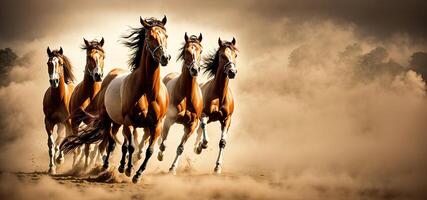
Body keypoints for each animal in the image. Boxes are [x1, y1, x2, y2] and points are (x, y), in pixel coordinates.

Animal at [69, 38, 105, 169]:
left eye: (103, 56)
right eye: (89, 56)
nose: (98, 75)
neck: (90, 95)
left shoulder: (91, 122)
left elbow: (87, 146)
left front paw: (85, 167)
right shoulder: (75, 121)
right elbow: (77, 146)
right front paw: (75, 166)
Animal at [157, 32, 204, 173]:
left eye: (201, 50)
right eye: (186, 51)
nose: (194, 70)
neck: (187, 96)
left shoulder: (191, 125)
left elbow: (180, 148)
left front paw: (172, 168)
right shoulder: (169, 120)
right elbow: (163, 144)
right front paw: (160, 156)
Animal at [195, 37, 239, 173]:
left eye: (236, 55)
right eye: (222, 55)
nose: (232, 72)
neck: (219, 96)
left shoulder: (227, 119)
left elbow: (222, 142)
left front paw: (217, 167)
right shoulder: (204, 114)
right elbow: (204, 129)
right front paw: (203, 145)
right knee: (200, 129)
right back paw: (198, 147)